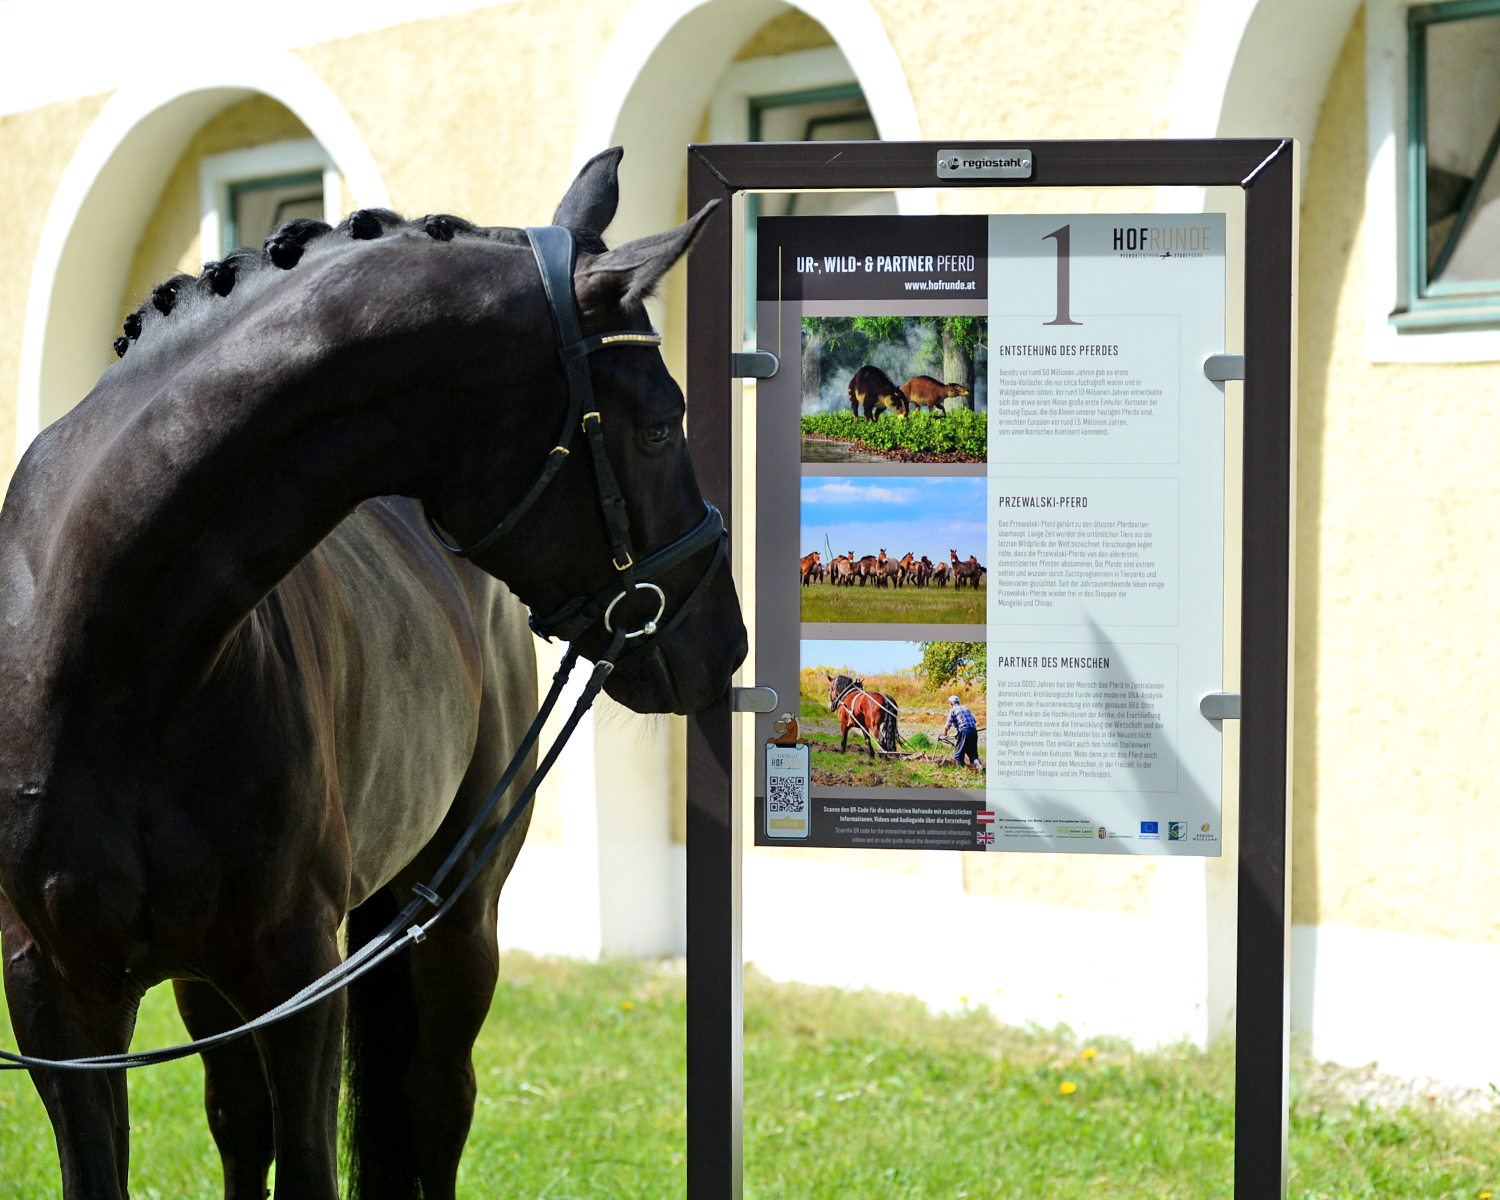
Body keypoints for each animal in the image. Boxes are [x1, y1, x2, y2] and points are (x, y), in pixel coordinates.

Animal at [0, 150, 744, 1200]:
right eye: (659, 425)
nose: (726, 642)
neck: (115, 667)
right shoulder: (56, 1001)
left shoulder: (299, 976)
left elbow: (314, 1167)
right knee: (240, 1119)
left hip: (458, 919)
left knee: (436, 1104)